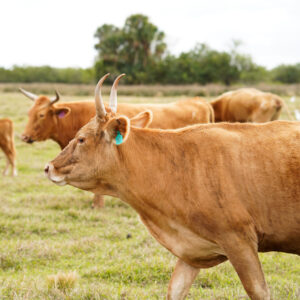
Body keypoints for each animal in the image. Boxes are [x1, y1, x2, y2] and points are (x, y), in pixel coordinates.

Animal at [45, 73, 300, 300]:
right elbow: (175, 290)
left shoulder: (240, 241)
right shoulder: (190, 251)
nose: (49, 167)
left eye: (81, 139)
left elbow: (259, 291)